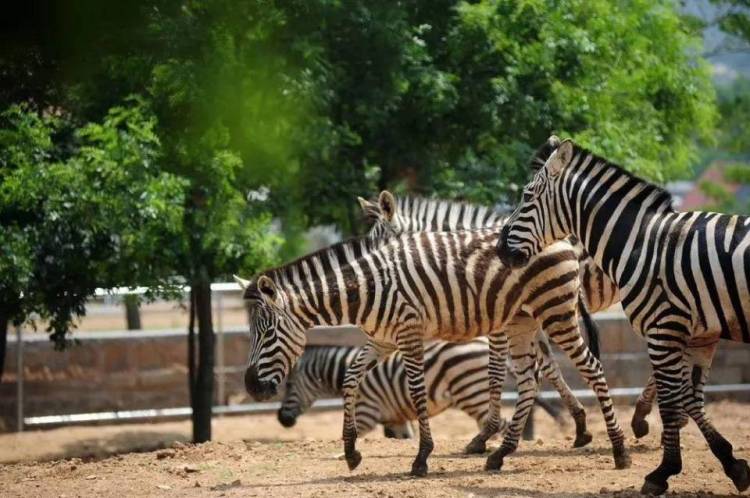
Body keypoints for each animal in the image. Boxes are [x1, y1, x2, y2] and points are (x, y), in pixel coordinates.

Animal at [280, 338, 568, 440]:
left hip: (471, 394)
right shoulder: (395, 419)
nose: (282, 420)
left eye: (289, 385)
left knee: (499, 424)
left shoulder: (366, 414)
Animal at [500, 135, 750, 494]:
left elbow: (673, 401)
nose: (499, 249)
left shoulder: (662, 329)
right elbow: (690, 397)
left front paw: (662, 472)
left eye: (527, 196)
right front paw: (731, 462)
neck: (640, 243)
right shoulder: (701, 335)